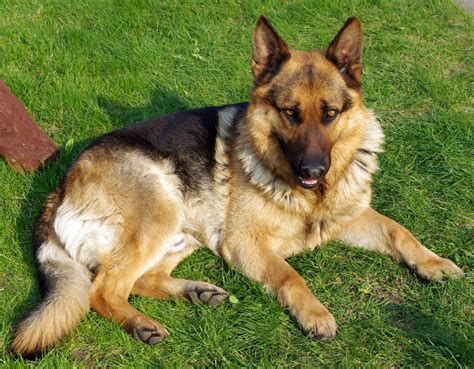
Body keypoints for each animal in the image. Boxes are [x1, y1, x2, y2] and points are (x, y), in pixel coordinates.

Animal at [11, 15, 462, 356]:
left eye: (330, 114)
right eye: (290, 113)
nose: (314, 169)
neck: (311, 196)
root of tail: (61, 186)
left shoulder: (349, 216)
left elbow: (399, 231)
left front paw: (434, 262)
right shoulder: (246, 242)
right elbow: (290, 276)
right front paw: (315, 314)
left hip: (182, 233)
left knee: (136, 281)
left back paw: (195, 293)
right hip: (162, 211)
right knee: (102, 290)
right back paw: (142, 324)